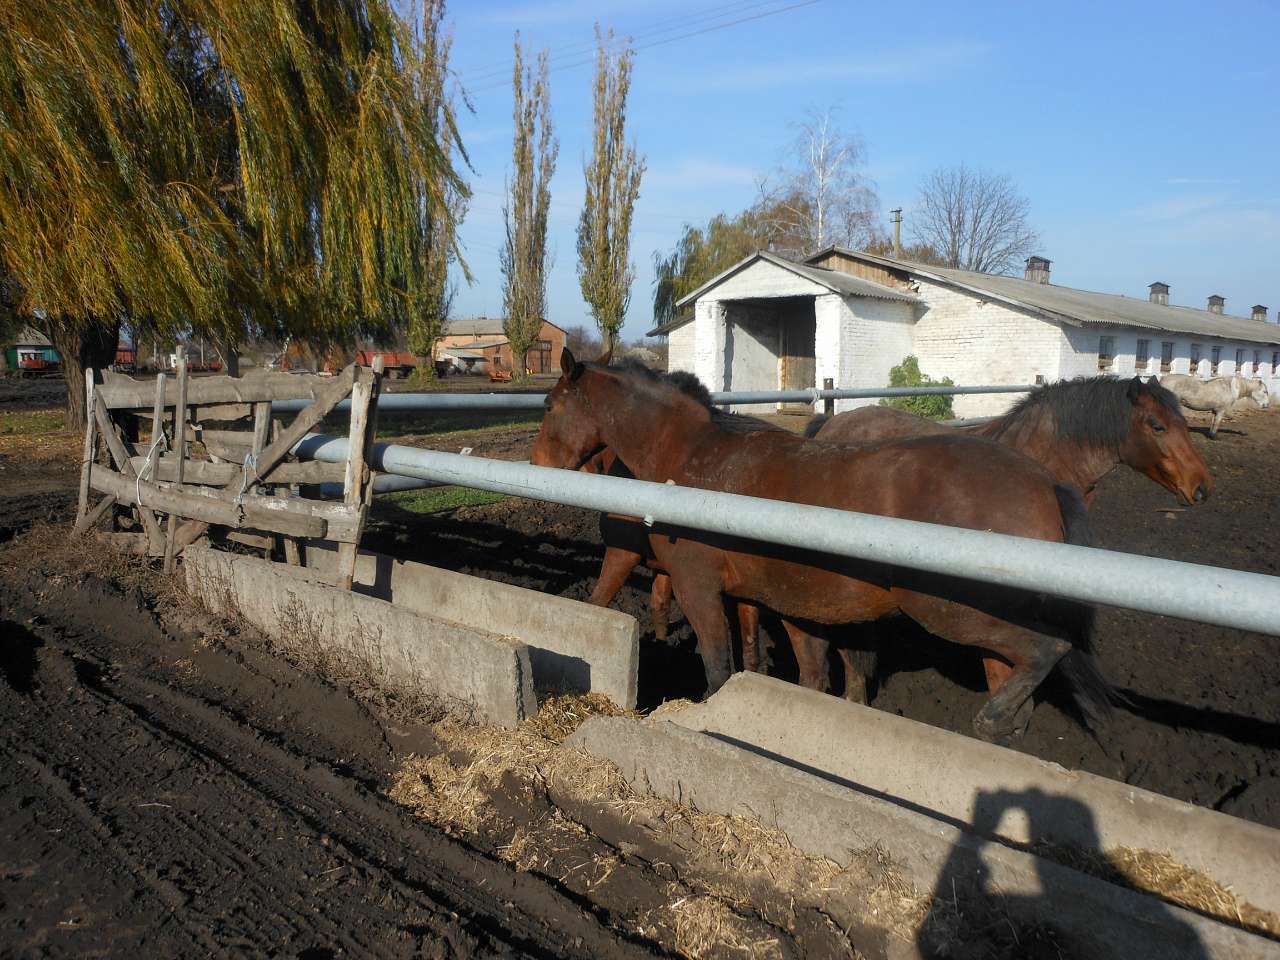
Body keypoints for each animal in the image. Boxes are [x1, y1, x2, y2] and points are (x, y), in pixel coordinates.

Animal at [535, 350, 1116, 742]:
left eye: (549, 406)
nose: (539, 465)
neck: (694, 459)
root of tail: (1043, 482)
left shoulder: (698, 589)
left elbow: (720, 668)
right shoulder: (784, 603)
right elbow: (793, 673)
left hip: (952, 611)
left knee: (1045, 650)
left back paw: (991, 720)